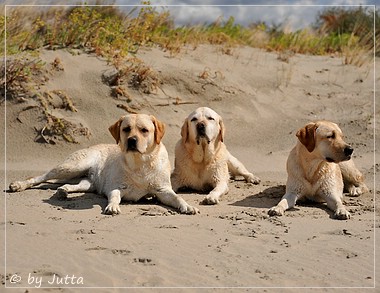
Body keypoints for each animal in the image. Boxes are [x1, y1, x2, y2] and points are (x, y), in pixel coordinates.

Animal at [8, 114, 199, 214]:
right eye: (126, 129)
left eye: (144, 130)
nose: (131, 140)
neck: (140, 164)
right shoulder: (115, 187)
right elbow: (114, 196)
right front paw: (112, 206)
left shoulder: (163, 190)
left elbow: (177, 197)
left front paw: (187, 206)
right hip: (72, 166)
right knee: (41, 177)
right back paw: (19, 184)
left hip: (88, 182)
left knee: (72, 185)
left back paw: (64, 191)